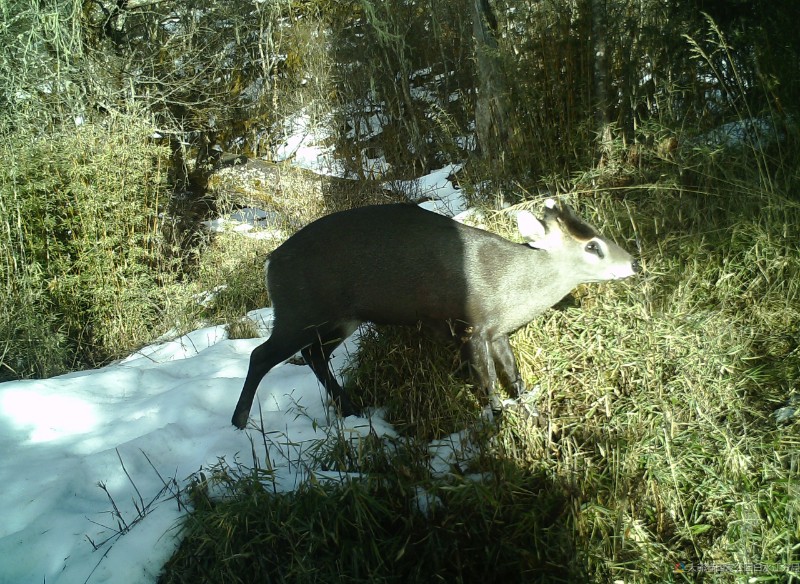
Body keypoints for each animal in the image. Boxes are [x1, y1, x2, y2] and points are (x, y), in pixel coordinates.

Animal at [231, 198, 636, 426]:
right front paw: (497, 418)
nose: (631, 262)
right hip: (297, 312)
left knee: (314, 354)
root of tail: (270, 262)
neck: (510, 284)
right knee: (261, 354)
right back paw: (239, 421)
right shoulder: (472, 326)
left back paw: (351, 410)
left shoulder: (498, 331)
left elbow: (514, 376)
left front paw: (534, 414)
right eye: (593, 246)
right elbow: (488, 381)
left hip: (341, 318)